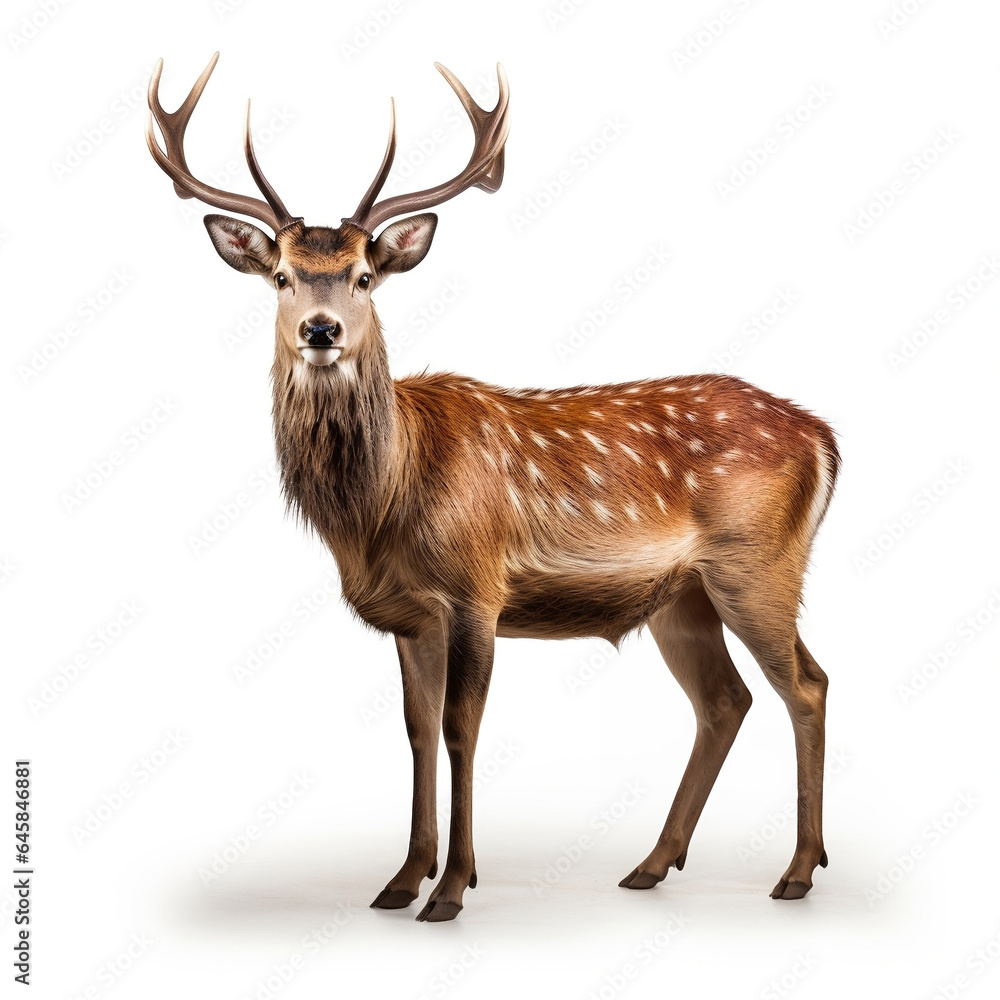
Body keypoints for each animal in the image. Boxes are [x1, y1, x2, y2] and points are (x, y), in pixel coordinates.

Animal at [146, 53, 838, 922]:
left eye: (365, 276)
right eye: (279, 276)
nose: (320, 330)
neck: (381, 509)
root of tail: (823, 437)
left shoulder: (475, 587)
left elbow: (460, 728)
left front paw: (451, 888)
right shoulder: (410, 615)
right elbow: (414, 730)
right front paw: (401, 879)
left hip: (758, 566)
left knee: (807, 685)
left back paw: (798, 870)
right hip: (683, 596)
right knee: (725, 700)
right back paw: (652, 864)